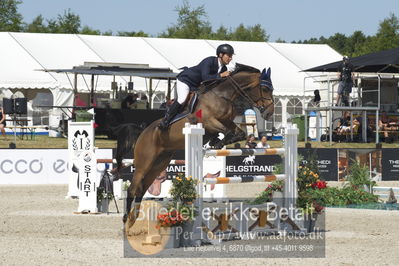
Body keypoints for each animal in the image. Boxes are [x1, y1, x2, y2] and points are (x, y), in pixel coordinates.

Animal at [119, 63, 276, 228]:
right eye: (265, 89)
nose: (269, 113)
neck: (223, 95)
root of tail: (143, 132)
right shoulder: (208, 121)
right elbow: (227, 131)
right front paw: (217, 142)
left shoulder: (227, 122)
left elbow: (238, 133)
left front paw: (216, 142)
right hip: (144, 163)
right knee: (132, 189)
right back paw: (126, 221)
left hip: (159, 163)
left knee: (141, 190)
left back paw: (134, 219)